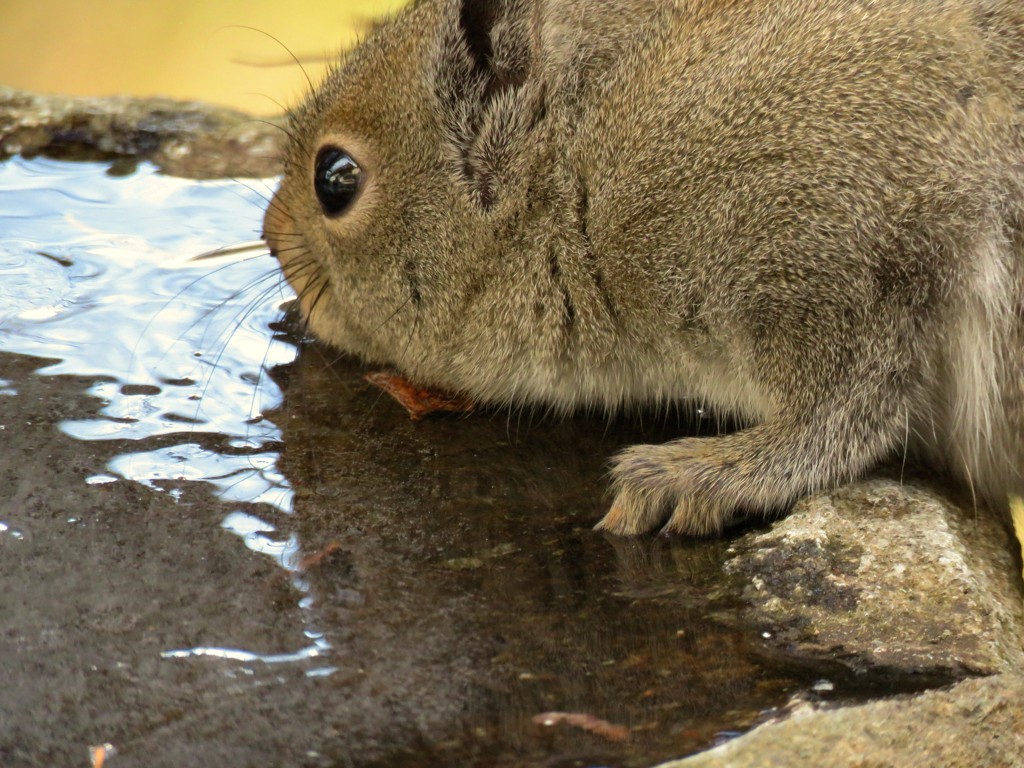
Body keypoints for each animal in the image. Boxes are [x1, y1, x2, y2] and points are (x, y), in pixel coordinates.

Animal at [262, 0, 1024, 536]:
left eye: (336, 178)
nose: (270, 242)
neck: (575, 176)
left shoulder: (834, 218)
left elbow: (848, 401)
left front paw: (717, 472)